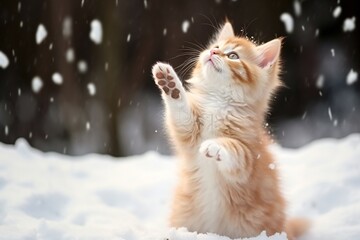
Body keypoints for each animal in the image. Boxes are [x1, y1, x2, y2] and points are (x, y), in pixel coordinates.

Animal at [151, 22, 306, 238]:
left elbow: (234, 148)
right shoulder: (188, 132)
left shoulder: (248, 160)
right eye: (216, 46)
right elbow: (181, 111)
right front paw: (170, 84)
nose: (213, 51)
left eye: (233, 55)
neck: (219, 103)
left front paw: (215, 146)